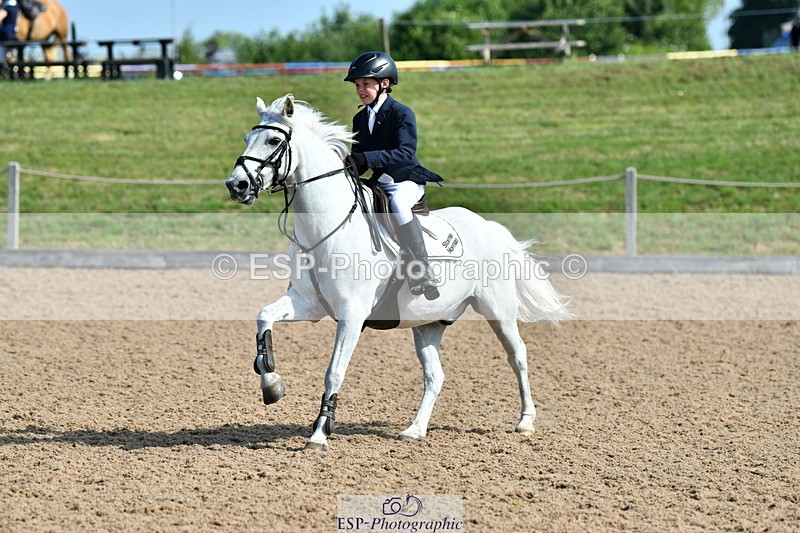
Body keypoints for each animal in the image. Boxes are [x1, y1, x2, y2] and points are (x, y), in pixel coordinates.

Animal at [225, 94, 573, 451]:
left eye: (274, 141)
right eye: (247, 138)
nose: (236, 185)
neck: (327, 228)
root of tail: (487, 225)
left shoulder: (352, 314)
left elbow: (334, 372)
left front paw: (320, 434)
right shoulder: (307, 304)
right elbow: (264, 317)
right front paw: (272, 385)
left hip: (497, 309)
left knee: (517, 355)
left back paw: (525, 421)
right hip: (428, 323)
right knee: (435, 376)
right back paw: (414, 430)